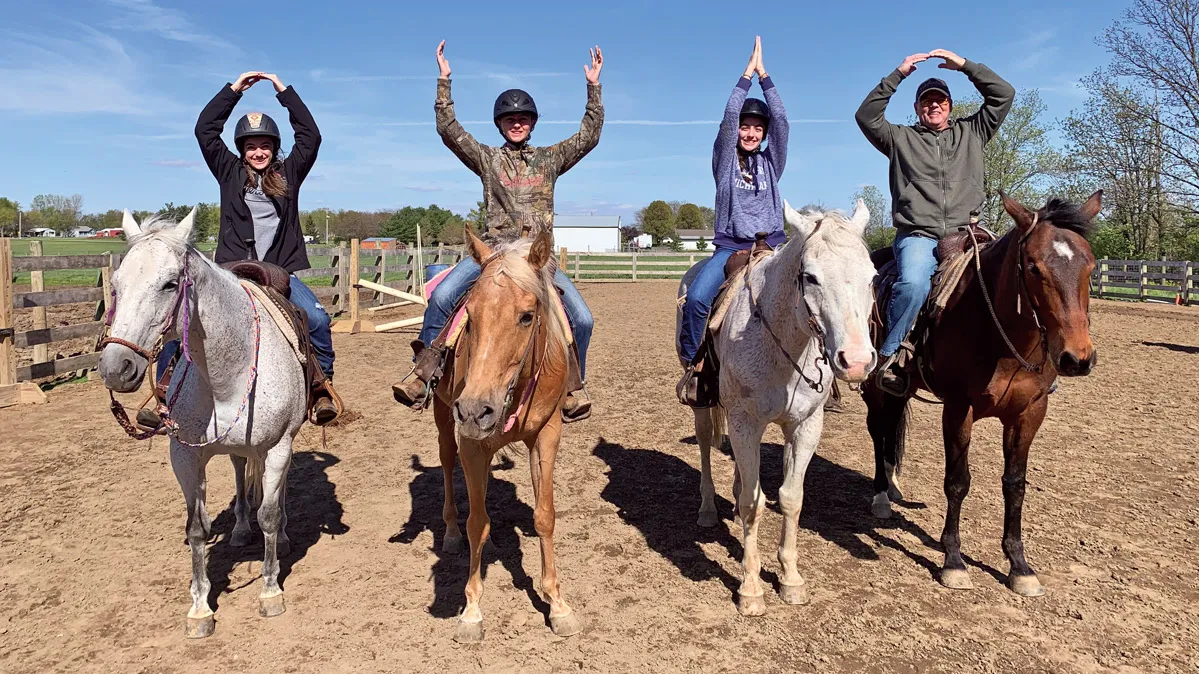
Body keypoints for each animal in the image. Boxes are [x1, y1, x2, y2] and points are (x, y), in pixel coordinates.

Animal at [97, 208, 306, 633]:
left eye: (169, 284)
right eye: (116, 285)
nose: (116, 368)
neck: (228, 374)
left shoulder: (277, 447)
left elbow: (269, 514)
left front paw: (270, 591)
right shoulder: (185, 457)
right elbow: (196, 528)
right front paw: (199, 608)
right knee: (242, 473)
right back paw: (241, 529)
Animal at [431, 226, 580, 638]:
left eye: (527, 316)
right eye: (469, 315)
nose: (474, 411)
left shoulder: (547, 435)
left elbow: (545, 516)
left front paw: (558, 605)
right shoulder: (470, 443)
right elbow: (476, 523)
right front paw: (471, 612)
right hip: (443, 418)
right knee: (447, 466)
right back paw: (450, 533)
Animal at [676, 199, 882, 614]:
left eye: (871, 277)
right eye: (811, 277)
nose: (855, 361)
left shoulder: (804, 426)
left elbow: (790, 498)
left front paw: (790, 578)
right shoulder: (744, 422)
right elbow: (754, 503)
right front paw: (751, 588)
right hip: (705, 407)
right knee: (706, 445)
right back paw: (708, 509)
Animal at [863, 189, 1103, 592]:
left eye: (1091, 267)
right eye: (1034, 267)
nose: (1076, 358)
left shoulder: (1029, 413)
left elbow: (1015, 485)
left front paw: (1019, 566)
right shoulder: (959, 409)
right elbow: (958, 482)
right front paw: (953, 560)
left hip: (901, 388)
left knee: (891, 427)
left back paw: (893, 489)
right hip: (873, 384)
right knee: (878, 430)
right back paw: (881, 494)